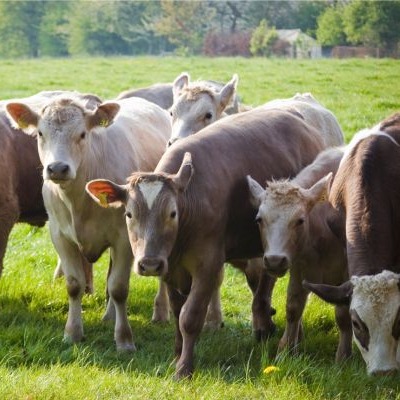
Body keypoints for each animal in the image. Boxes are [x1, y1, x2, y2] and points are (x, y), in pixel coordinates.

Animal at [5, 94, 170, 350]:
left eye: (82, 134)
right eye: (41, 133)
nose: (57, 168)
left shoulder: (124, 238)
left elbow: (119, 288)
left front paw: (124, 340)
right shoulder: (60, 236)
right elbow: (75, 285)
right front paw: (72, 332)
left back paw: (160, 313)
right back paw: (109, 315)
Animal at [84, 108, 324, 378]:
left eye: (172, 213)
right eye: (128, 214)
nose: (149, 264)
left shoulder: (207, 266)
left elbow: (190, 317)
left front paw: (184, 368)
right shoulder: (171, 268)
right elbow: (177, 311)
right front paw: (177, 356)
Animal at [245, 148, 352, 362]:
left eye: (300, 220)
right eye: (259, 219)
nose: (274, 260)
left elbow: (344, 314)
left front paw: (343, 356)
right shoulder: (299, 268)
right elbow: (293, 308)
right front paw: (285, 351)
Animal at [302, 111, 400, 376]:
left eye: (398, 320)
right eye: (358, 324)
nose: (383, 371)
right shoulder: (342, 245)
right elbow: (340, 310)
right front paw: (342, 357)